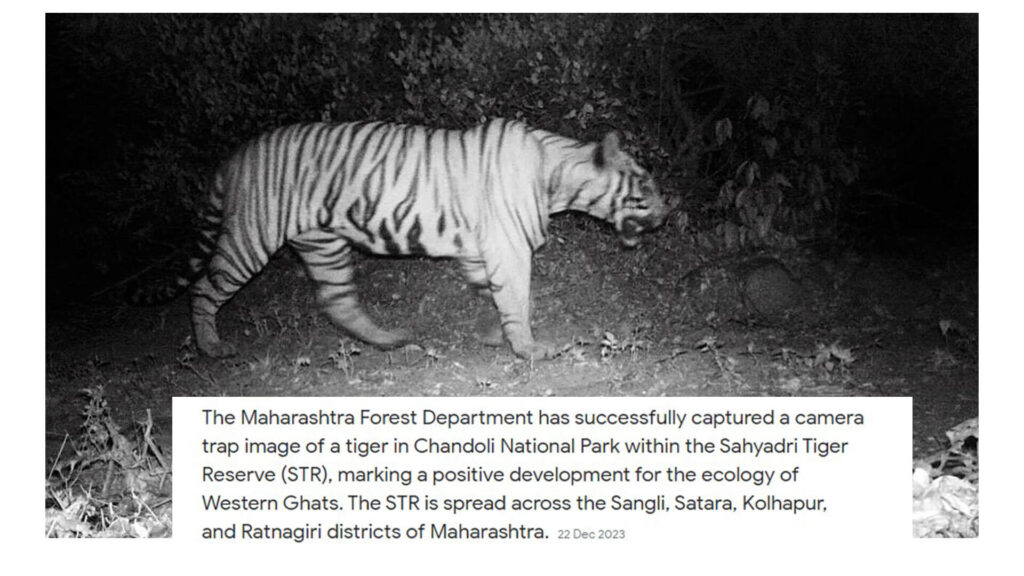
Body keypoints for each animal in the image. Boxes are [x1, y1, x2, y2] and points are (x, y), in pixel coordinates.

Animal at [174, 118, 666, 360]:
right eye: (644, 185)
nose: (670, 211)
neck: (559, 177)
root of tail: (236, 156)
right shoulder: (509, 249)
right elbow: (517, 298)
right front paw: (528, 347)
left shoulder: (482, 250)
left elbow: (493, 293)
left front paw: (496, 335)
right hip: (251, 238)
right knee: (205, 288)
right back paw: (211, 346)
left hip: (323, 243)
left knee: (337, 300)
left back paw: (390, 340)